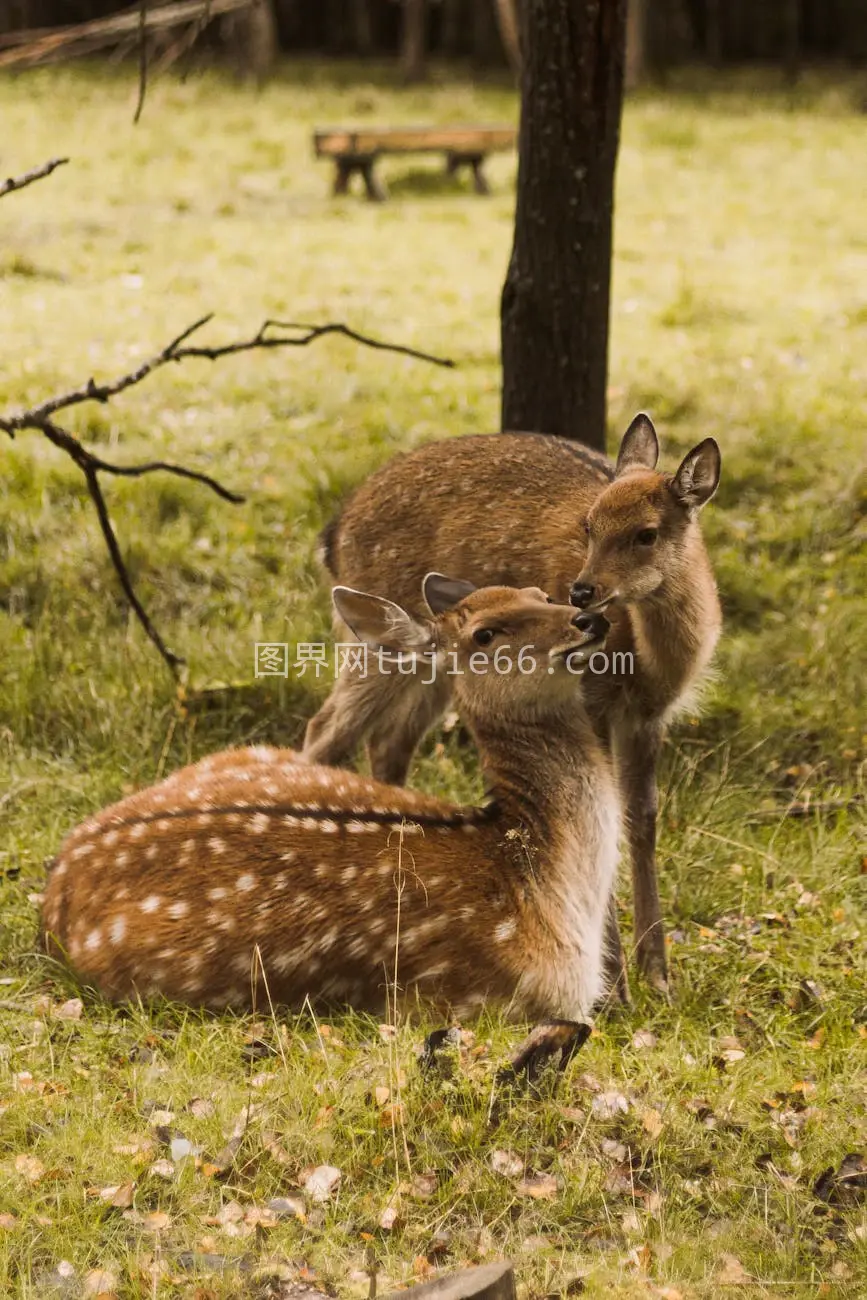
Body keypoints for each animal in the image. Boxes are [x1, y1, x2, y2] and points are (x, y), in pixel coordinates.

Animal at [301, 413, 722, 982]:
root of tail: (334, 532)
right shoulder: (591, 701)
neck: (648, 662)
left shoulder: (648, 717)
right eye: (588, 525)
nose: (582, 592)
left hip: (436, 664)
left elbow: (643, 820)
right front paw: (614, 982)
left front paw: (658, 976)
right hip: (374, 637)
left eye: (647, 533)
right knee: (325, 731)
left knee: (388, 741)